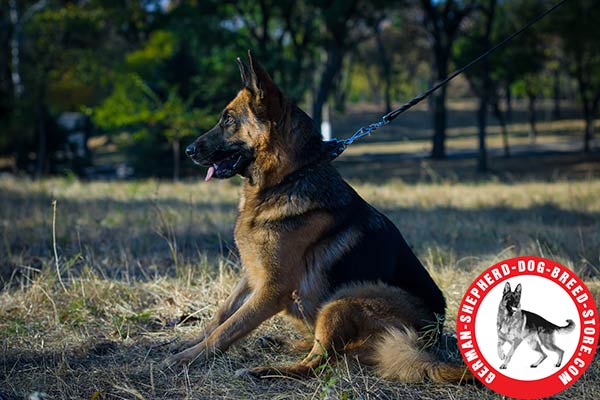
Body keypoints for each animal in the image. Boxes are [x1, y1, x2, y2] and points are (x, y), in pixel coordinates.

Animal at [162, 51, 472, 382]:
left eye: (228, 120)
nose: (188, 150)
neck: (288, 178)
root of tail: (429, 339)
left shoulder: (272, 289)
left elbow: (230, 327)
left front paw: (189, 357)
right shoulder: (251, 275)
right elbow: (221, 314)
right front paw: (188, 342)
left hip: (345, 298)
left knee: (318, 362)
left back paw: (265, 370)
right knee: (325, 351)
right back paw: (282, 342)